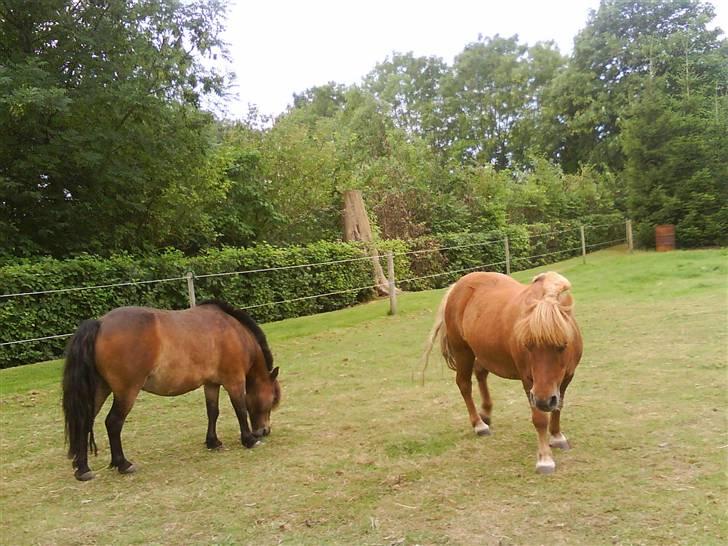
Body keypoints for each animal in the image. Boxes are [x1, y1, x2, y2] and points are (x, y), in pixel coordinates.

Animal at [61, 298, 282, 480]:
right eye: (272, 400)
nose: (264, 431)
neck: (234, 332)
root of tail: (100, 323)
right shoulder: (234, 381)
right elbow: (240, 410)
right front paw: (249, 440)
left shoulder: (211, 384)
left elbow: (212, 412)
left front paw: (213, 442)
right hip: (126, 392)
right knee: (113, 422)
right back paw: (123, 464)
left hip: (99, 389)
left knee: (84, 421)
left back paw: (82, 469)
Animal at [420, 272, 584, 472]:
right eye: (527, 344)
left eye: (563, 345)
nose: (543, 401)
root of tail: (457, 285)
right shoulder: (529, 381)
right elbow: (539, 419)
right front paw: (545, 459)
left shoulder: (566, 378)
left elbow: (558, 407)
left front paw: (557, 436)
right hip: (463, 351)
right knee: (464, 384)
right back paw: (479, 425)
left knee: (480, 374)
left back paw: (486, 413)